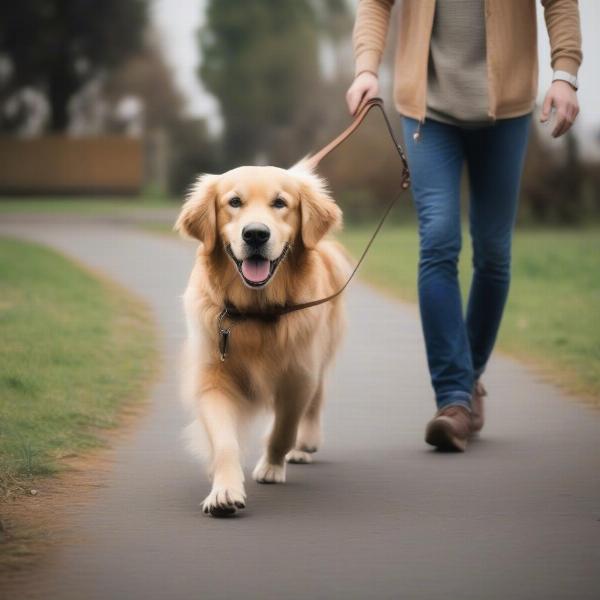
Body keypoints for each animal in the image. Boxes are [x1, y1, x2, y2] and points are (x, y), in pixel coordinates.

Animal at [176, 163, 350, 516]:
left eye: (280, 203)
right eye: (234, 202)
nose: (255, 234)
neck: (256, 311)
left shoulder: (299, 375)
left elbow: (284, 429)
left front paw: (271, 466)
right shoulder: (214, 378)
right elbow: (224, 441)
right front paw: (224, 491)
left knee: (316, 398)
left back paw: (305, 444)